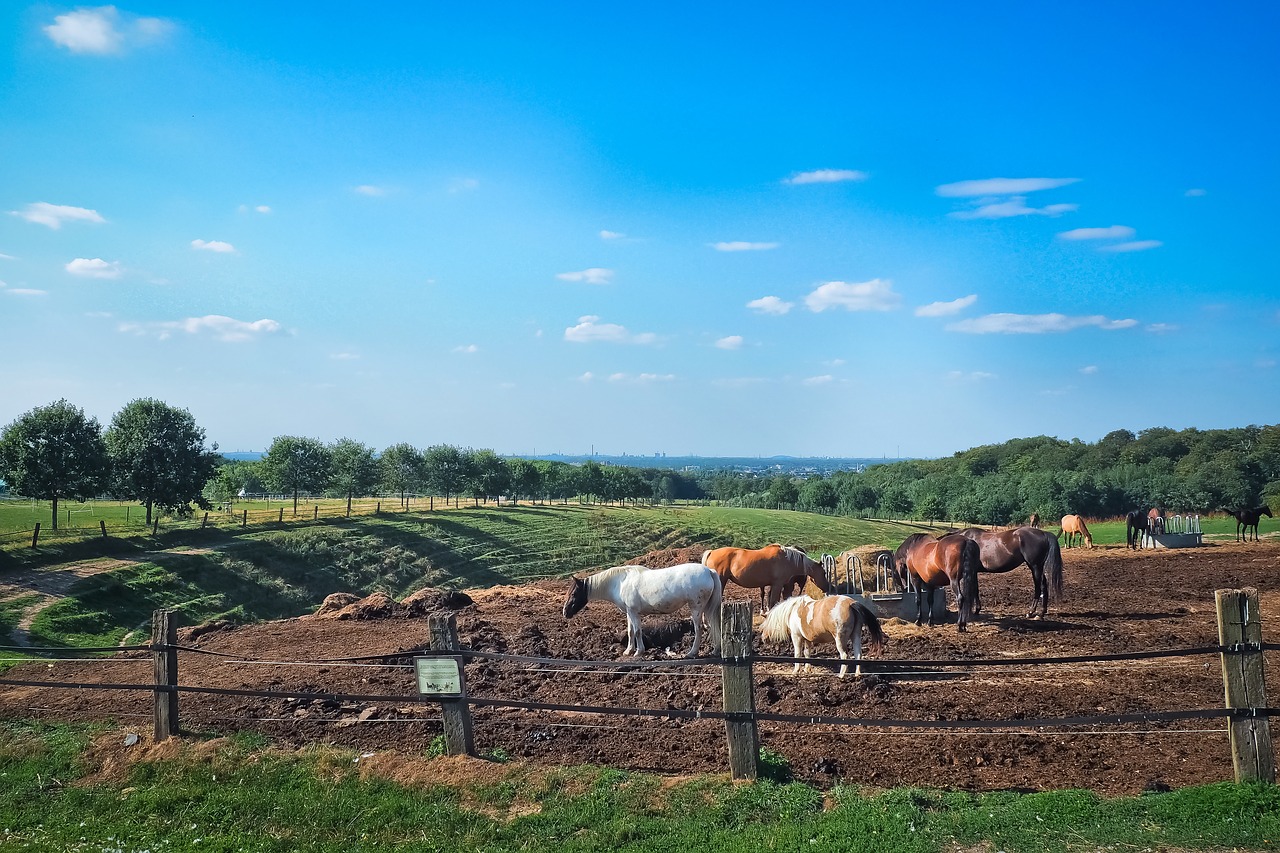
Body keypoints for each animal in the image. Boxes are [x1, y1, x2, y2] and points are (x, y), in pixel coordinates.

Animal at [565, 558, 727, 655]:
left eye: (574, 594)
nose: (565, 612)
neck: (620, 582)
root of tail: (709, 571)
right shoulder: (629, 612)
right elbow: (630, 631)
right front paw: (628, 651)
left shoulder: (634, 612)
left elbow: (637, 631)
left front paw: (639, 652)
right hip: (706, 608)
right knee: (712, 625)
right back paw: (716, 649)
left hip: (696, 608)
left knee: (698, 629)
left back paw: (692, 652)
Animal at [701, 545, 829, 612]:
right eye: (823, 572)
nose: (828, 587)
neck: (787, 559)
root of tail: (711, 552)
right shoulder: (778, 585)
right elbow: (773, 601)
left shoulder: (773, 585)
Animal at [752, 591, 885, 676]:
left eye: (764, 625)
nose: (763, 638)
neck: (793, 610)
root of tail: (851, 603)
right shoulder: (807, 639)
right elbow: (807, 653)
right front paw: (807, 669)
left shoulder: (797, 637)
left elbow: (798, 654)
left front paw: (796, 671)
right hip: (856, 636)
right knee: (858, 655)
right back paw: (857, 675)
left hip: (840, 639)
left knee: (844, 656)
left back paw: (841, 675)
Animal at [942, 525, 1070, 617]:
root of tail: (1043, 533)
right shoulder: (974, 572)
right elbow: (976, 589)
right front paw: (977, 609)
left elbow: (974, 589)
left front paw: (976, 610)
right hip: (1038, 567)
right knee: (1044, 585)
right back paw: (1042, 611)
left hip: (1035, 567)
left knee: (1039, 587)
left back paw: (1031, 612)